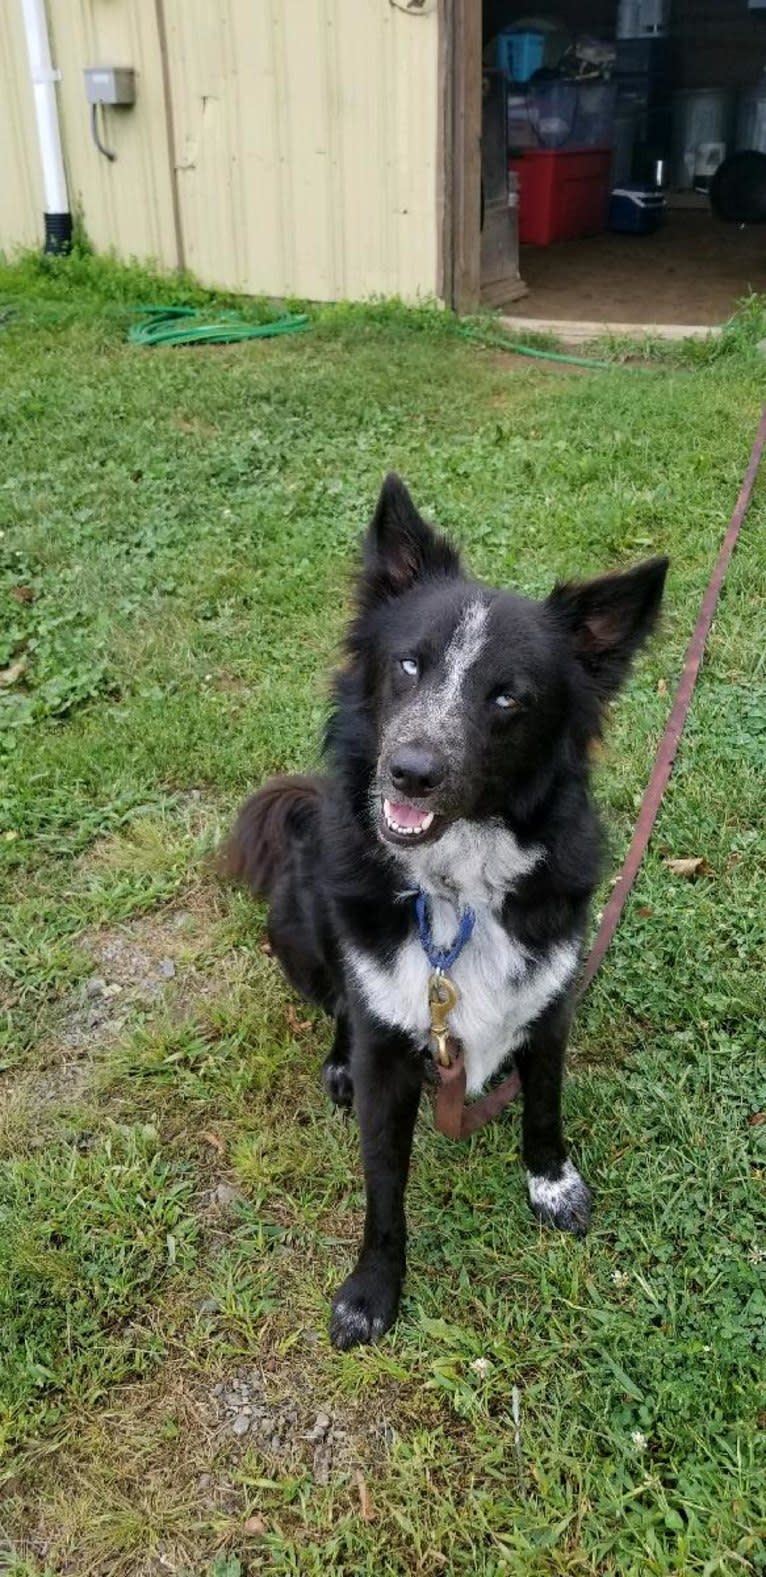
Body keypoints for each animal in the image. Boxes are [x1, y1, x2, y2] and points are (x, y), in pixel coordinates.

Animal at [225, 473, 665, 1349]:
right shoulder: (391, 1048)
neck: (457, 890)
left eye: (508, 697)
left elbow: (544, 1107)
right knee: (338, 1001)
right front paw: (373, 1288)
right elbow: (383, 1184)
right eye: (407, 663)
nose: (411, 772)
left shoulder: (549, 1001)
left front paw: (552, 1184)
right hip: (298, 921)